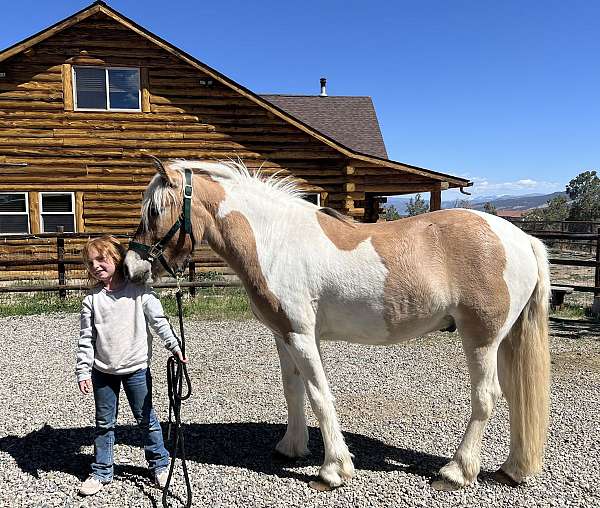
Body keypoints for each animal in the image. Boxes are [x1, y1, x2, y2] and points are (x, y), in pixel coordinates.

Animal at [124, 157, 552, 490]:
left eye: (154, 211)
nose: (130, 267)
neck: (275, 241)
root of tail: (522, 238)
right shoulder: (284, 336)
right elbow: (293, 391)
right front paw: (291, 448)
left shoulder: (301, 336)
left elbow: (319, 395)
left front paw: (333, 470)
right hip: (505, 340)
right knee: (516, 395)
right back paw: (511, 470)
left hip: (481, 339)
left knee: (487, 397)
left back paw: (457, 472)